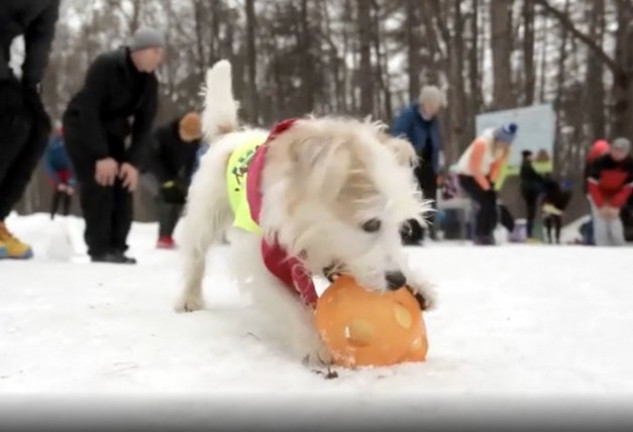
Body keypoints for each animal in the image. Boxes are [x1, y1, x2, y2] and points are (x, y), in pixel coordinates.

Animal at [175, 60, 436, 364]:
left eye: (402, 228)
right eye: (371, 224)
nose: (398, 281)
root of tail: (230, 134)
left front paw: (417, 285)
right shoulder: (257, 260)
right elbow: (289, 304)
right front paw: (314, 343)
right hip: (205, 213)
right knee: (196, 256)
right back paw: (189, 298)